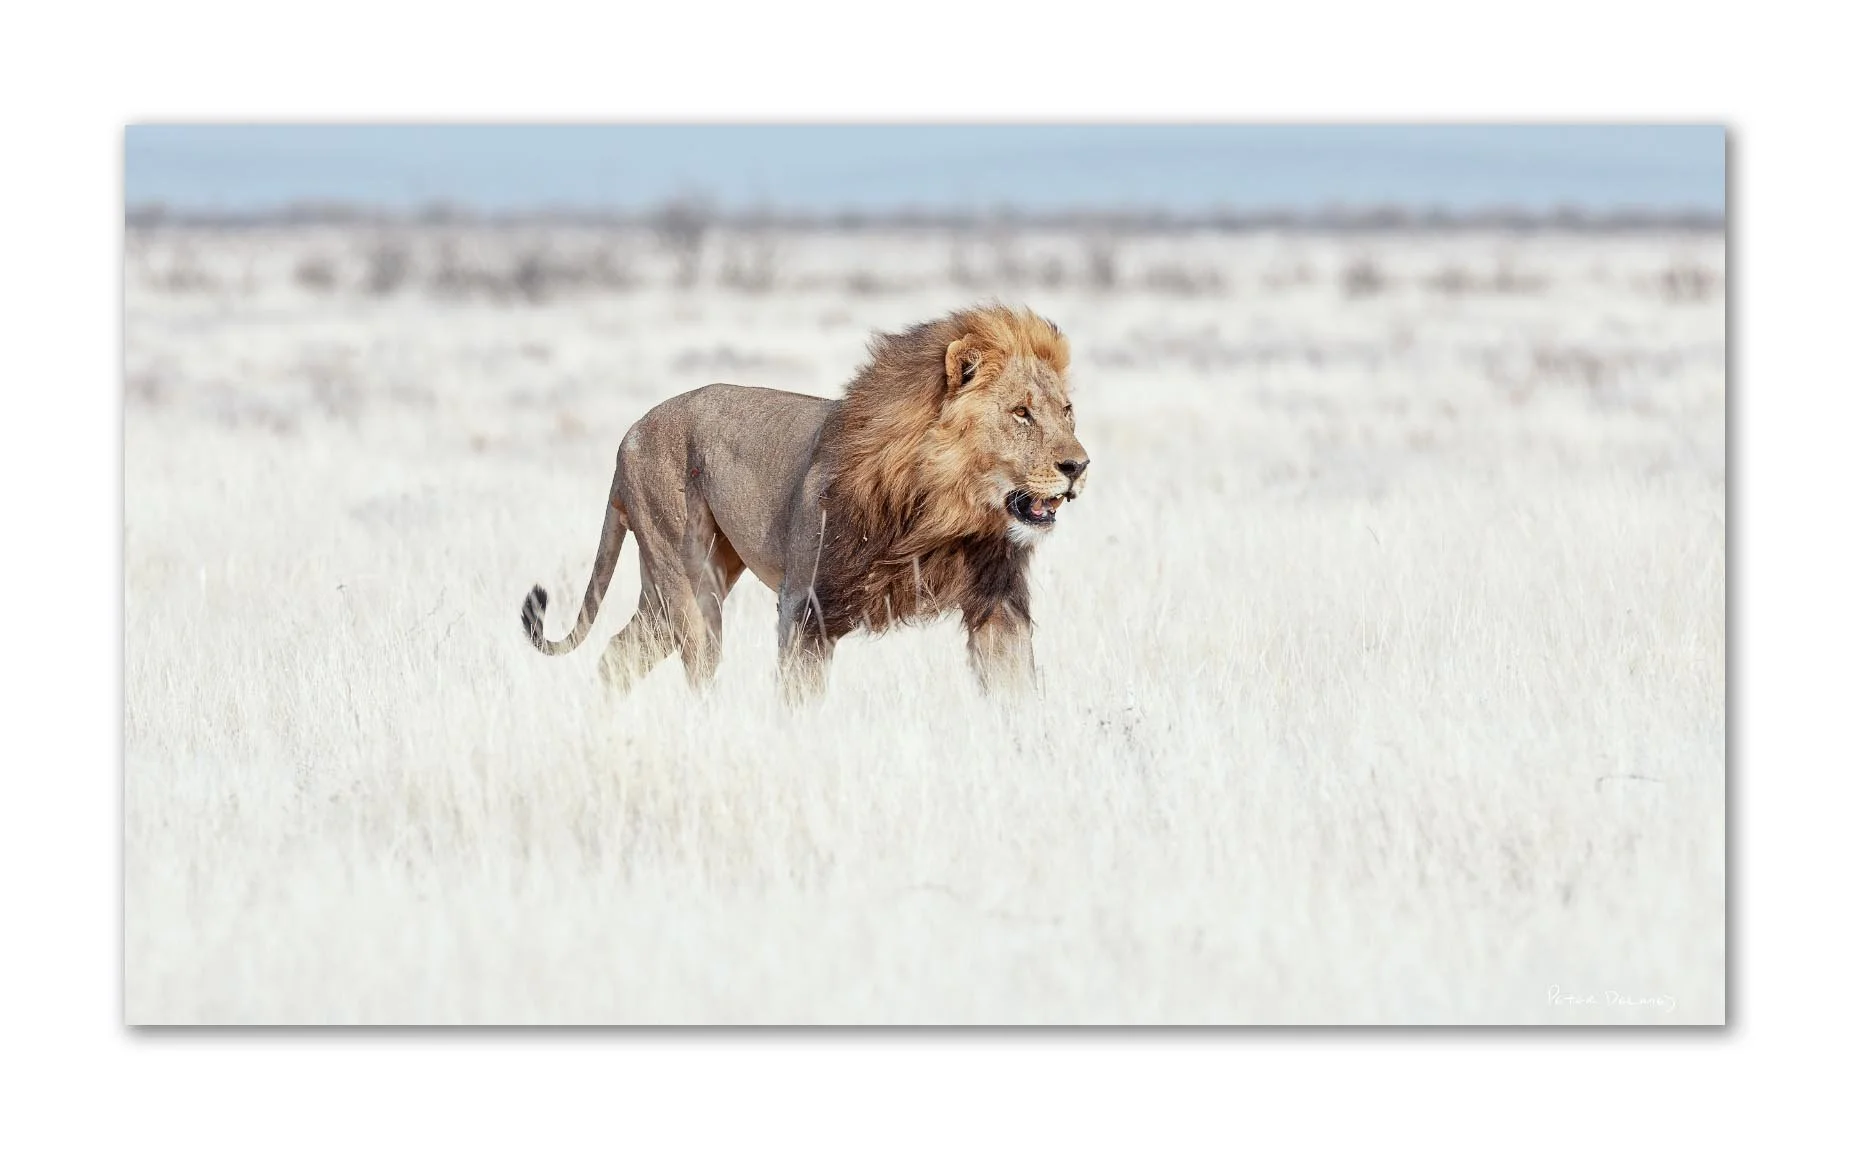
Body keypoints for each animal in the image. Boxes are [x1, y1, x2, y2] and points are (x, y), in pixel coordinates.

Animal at [519, 304, 1090, 700]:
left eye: (1066, 411)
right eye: (1021, 413)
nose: (1079, 466)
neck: (942, 512)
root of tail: (627, 437)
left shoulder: (999, 606)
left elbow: (1018, 694)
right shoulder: (806, 605)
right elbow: (799, 701)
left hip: (673, 588)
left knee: (617, 656)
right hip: (687, 582)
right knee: (697, 671)